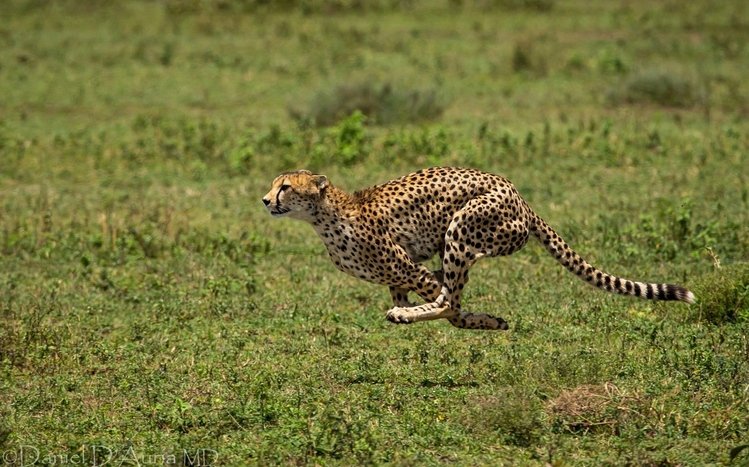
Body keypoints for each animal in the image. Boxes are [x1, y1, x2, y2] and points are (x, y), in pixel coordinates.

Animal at [262, 167, 695, 331]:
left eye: (285, 187)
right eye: (274, 184)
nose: (265, 200)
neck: (324, 217)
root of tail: (518, 194)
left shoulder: (411, 268)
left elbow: (448, 303)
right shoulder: (398, 276)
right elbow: (436, 298)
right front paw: (488, 319)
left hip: (462, 229)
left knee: (450, 300)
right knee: (451, 295)